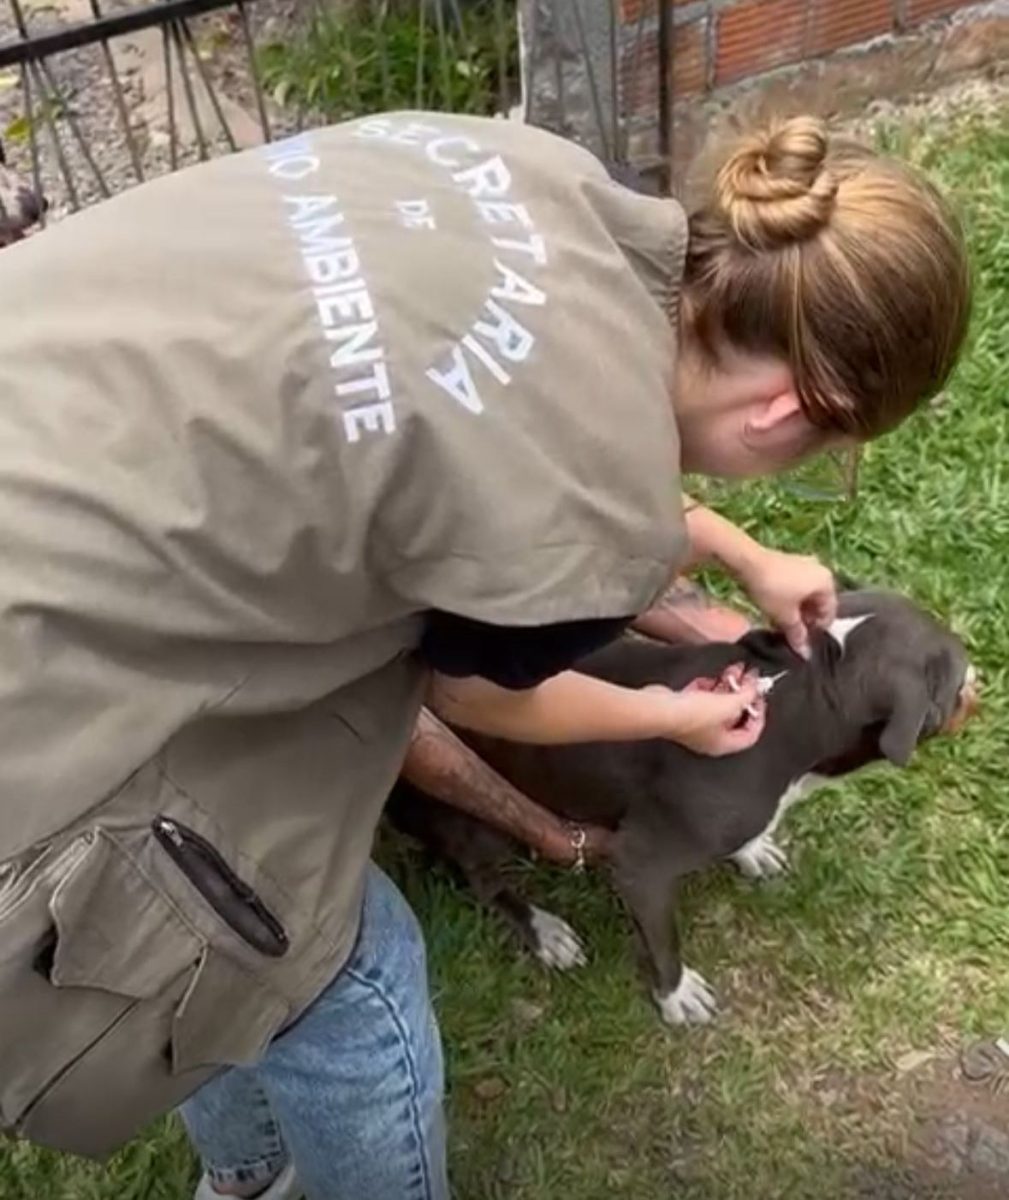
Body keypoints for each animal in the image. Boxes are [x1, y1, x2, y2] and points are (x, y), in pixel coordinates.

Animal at [391, 588, 974, 1022]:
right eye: (955, 669)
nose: (983, 672)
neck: (804, 692)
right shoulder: (641, 863)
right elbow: (663, 942)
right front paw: (676, 997)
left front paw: (753, 851)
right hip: (472, 815)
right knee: (483, 879)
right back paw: (543, 929)